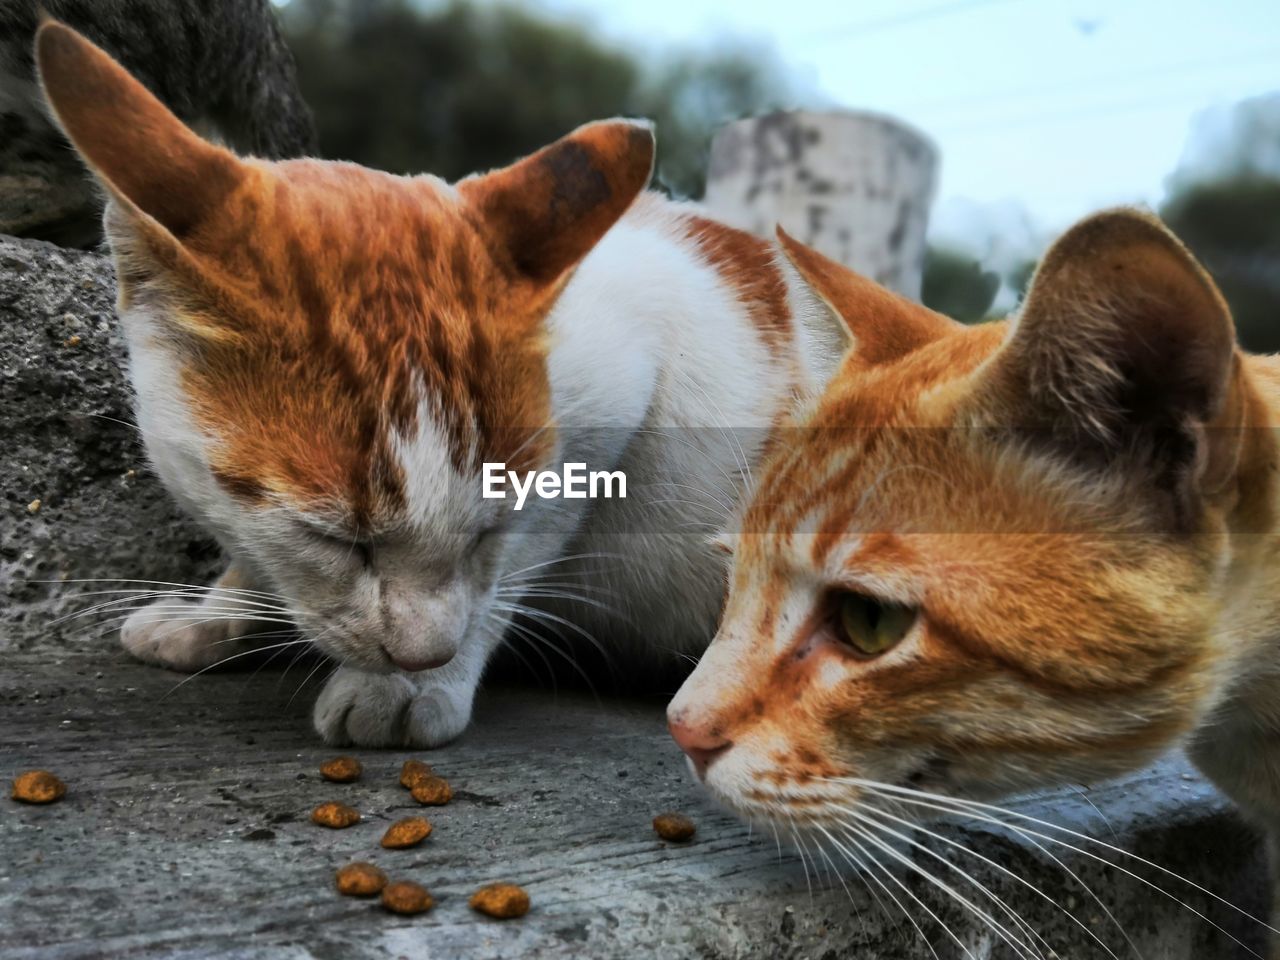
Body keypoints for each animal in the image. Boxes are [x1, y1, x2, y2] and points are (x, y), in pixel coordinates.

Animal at [35, 18, 839, 747]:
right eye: (331, 538)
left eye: (487, 528)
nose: (424, 654)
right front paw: (217, 613)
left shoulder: (624, 384)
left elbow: (505, 574)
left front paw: (409, 687)